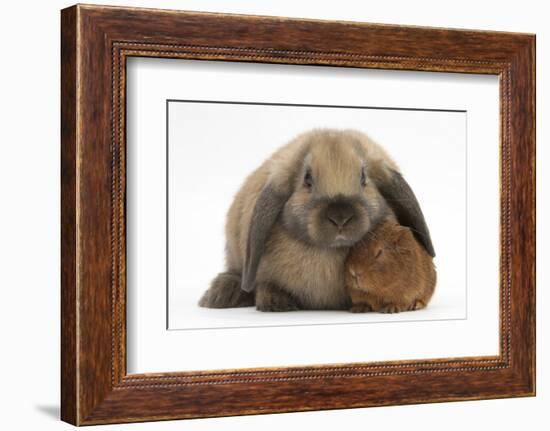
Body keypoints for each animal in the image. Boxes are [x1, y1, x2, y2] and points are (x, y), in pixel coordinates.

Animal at [198, 130, 436, 312]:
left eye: (363, 178)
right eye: (307, 179)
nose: (340, 217)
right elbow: (266, 284)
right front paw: (275, 302)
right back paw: (220, 295)